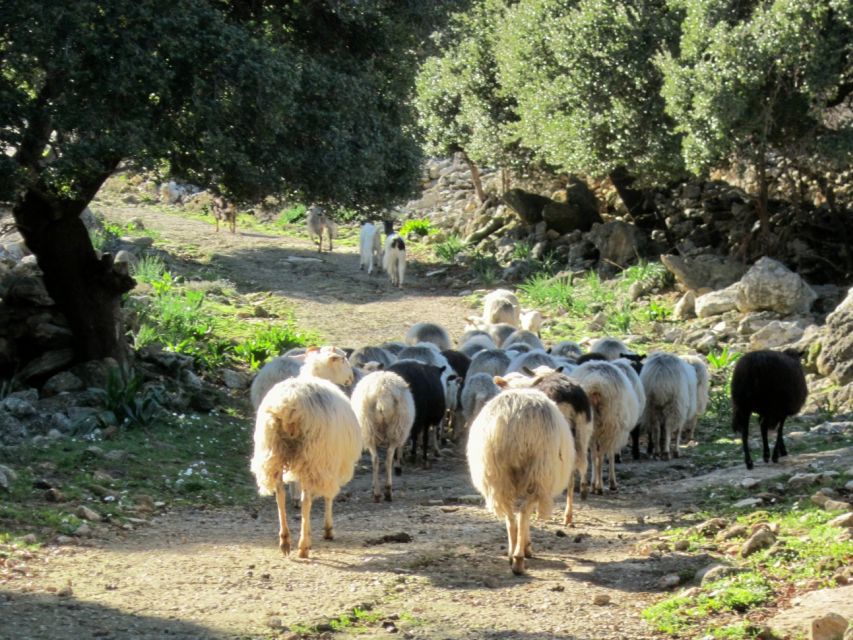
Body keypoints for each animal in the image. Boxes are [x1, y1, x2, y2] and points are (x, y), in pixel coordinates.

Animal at [250, 378, 362, 556]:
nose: (349, 380)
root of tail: (288, 403)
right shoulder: (330, 463)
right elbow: (328, 496)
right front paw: (328, 530)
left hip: (273, 450)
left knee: (280, 494)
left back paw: (285, 540)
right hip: (313, 454)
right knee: (306, 499)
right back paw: (303, 546)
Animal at [350, 372, 416, 502]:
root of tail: (382, 391)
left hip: (370, 429)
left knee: (377, 459)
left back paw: (379, 492)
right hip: (394, 429)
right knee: (387, 458)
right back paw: (386, 491)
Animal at [466, 388, 572, 576]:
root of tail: (513, 420)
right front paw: (527, 547)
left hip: (497, 475)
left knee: (510, 515)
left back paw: (512, 554)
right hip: (538, 470)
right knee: (524, 512)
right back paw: (519, 559)